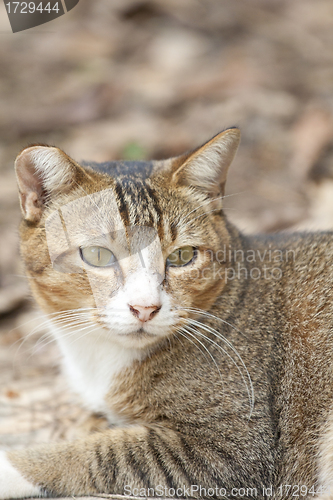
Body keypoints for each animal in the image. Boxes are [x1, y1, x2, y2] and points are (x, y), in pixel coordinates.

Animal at [0, 126, 332, 500]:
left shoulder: (233, 449)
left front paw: (9, 466)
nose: (145, 307)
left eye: (183, 256)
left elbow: (99, 453)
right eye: (98, 255)